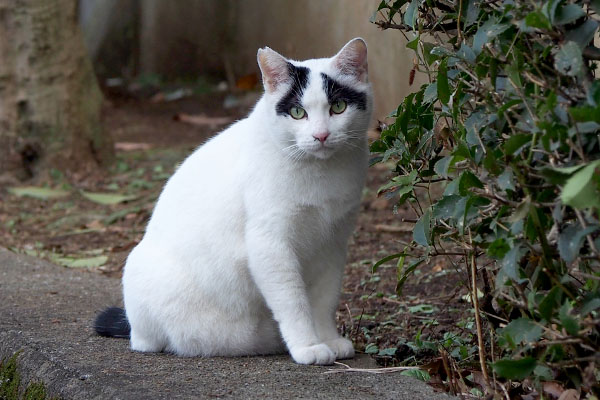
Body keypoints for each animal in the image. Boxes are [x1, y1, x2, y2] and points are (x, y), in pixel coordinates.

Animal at [94, 38, 372, 366]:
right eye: (297, 112)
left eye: (338, 107)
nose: (321, 135)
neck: (321, 174)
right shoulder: (269, 245)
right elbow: (294, 302)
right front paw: (308, 346)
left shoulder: (333, 244)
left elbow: (324, 300)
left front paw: (328, 338)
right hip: (142, 275)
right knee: (149, 341)